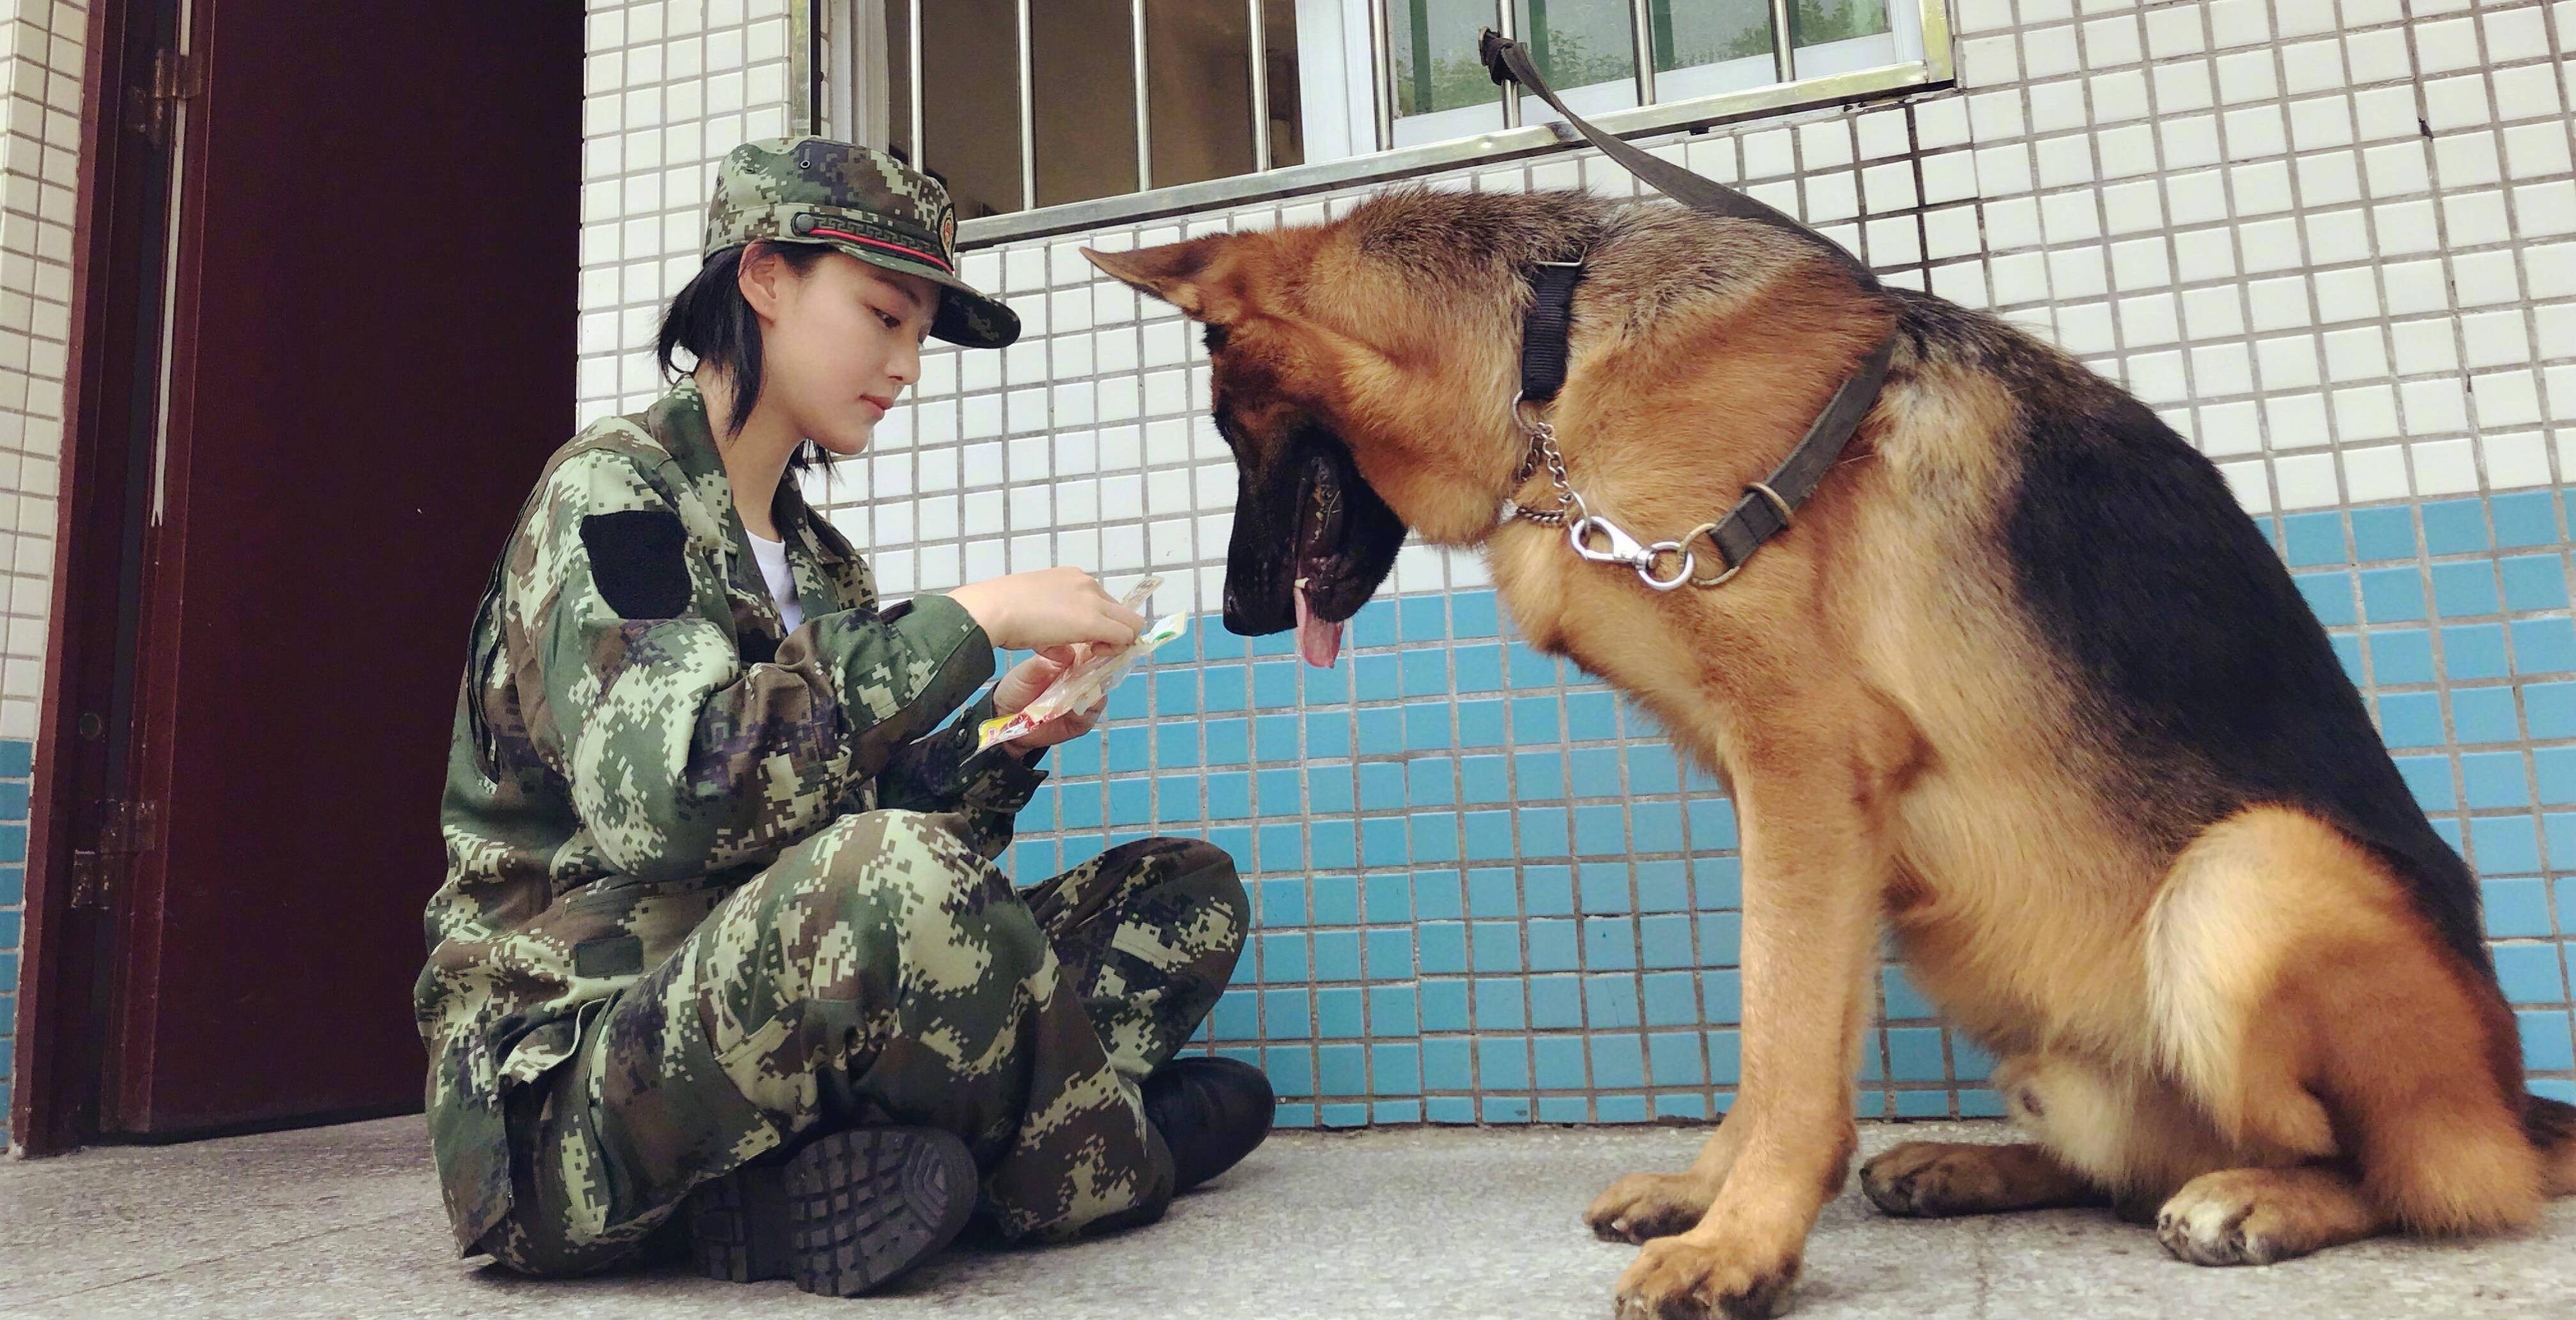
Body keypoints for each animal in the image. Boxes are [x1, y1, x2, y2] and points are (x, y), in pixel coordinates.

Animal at [1082, 188, 2576, 1320]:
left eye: (1227, 426)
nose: (1235, 615)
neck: (1547, 365)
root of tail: (2516, 1100)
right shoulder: (1796, 804)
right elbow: (1775, 1029)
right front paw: (1712, 1194)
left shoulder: (1802, 765)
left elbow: (1789, 1036)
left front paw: (1743, 1243)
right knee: (2133, 1161)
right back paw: (1974, 1170)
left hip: (2249, 877)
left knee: (2409, 1173)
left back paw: (2267, 1195)